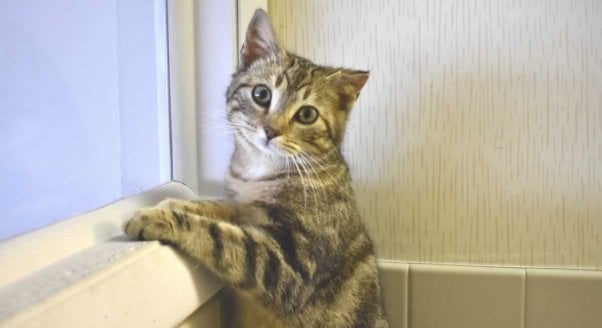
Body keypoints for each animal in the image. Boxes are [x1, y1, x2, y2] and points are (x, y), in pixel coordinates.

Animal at [125, 8, 390, 328]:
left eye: (307, 114)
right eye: (262, 94)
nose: (271, 130)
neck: (259, 169)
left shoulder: (292, 267)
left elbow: (223, 239)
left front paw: (161, 218)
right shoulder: (241, 203)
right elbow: (221, 205)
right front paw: (175, 203)